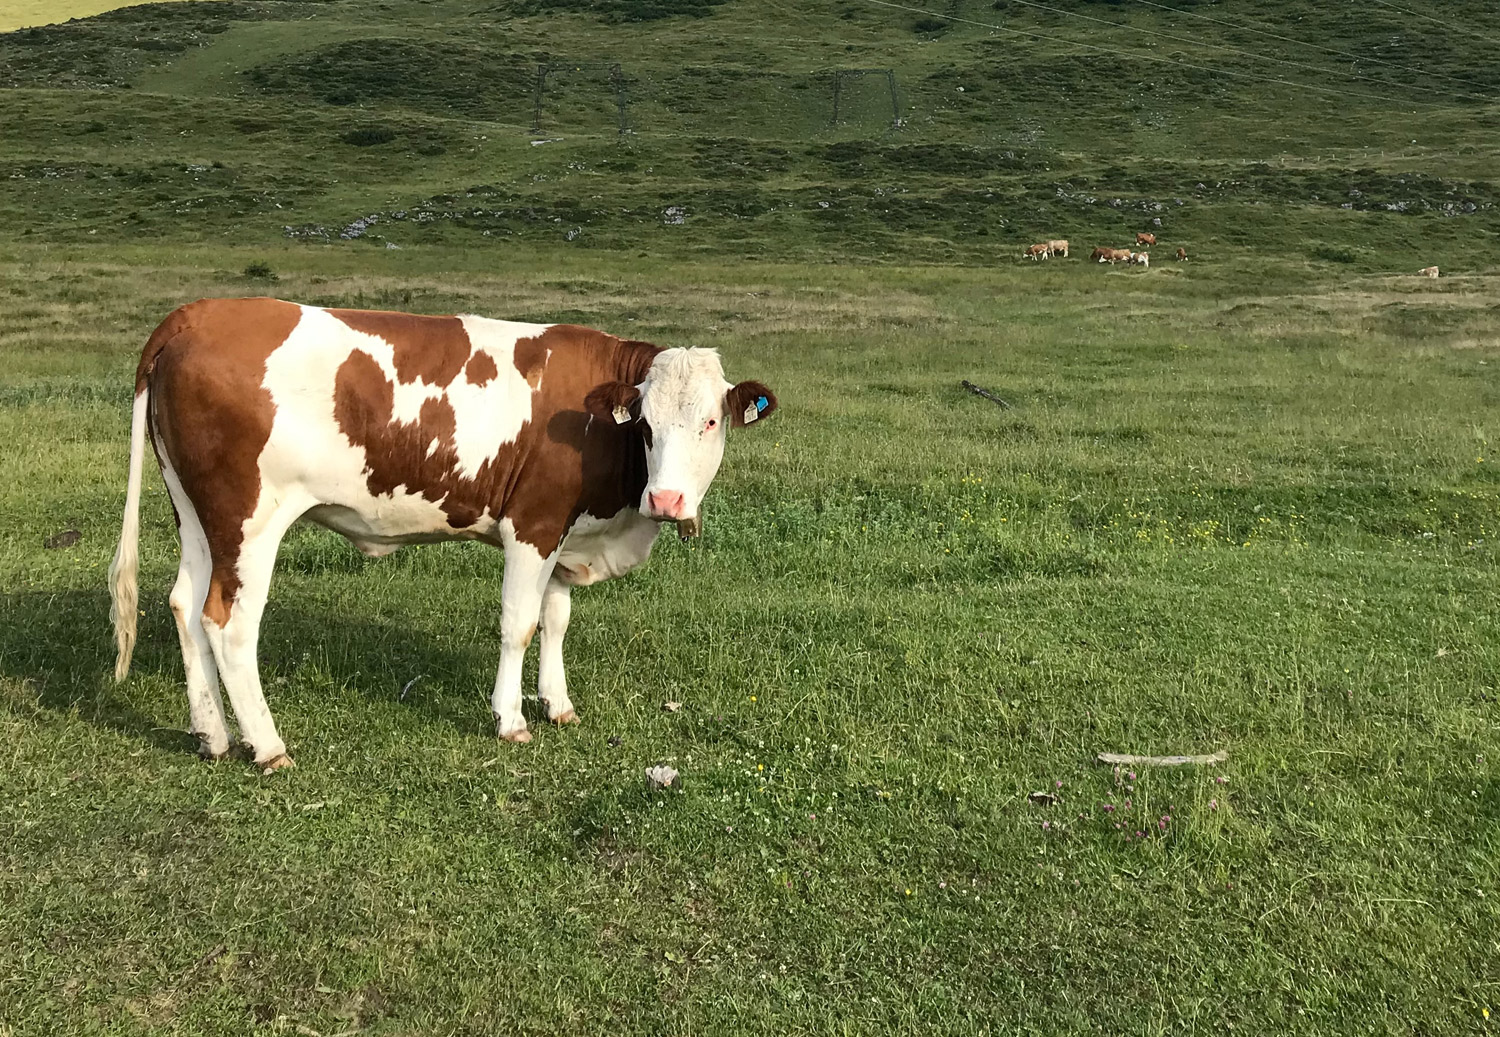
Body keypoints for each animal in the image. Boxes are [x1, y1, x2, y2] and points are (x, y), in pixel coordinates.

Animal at [108, 298, 778, 771]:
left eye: (710, 422)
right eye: (645, 424)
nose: (666, 500)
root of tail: (197, 312)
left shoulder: (567, 535)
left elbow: (556, 619)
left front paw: (557, 704)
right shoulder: (533, 524)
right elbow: (520, 623)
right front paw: (510, 719)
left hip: (198, 515)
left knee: (185, 605)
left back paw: (213, 735)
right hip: (249, 519)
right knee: (228, 623)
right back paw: (266, 745)